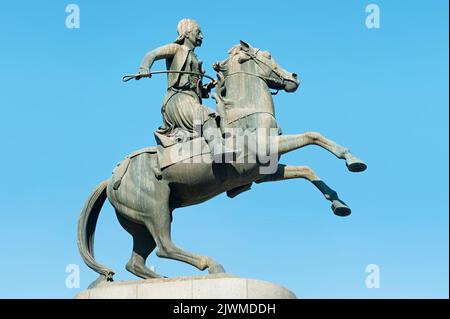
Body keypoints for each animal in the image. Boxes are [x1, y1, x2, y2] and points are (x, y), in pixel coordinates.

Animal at [77, 40, 366, 290]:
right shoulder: (268, 148)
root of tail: (113, 176)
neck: (244, 113)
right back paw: (211, 265)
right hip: (155, 210)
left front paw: (339, 204)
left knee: (136, 261)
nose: (294, 77)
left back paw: (162, 279)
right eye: (268, 56)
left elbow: (307, 170)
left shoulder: (263, 172)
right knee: (164, 246)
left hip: (141, 223)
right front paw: (353, 161)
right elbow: (312, 136)